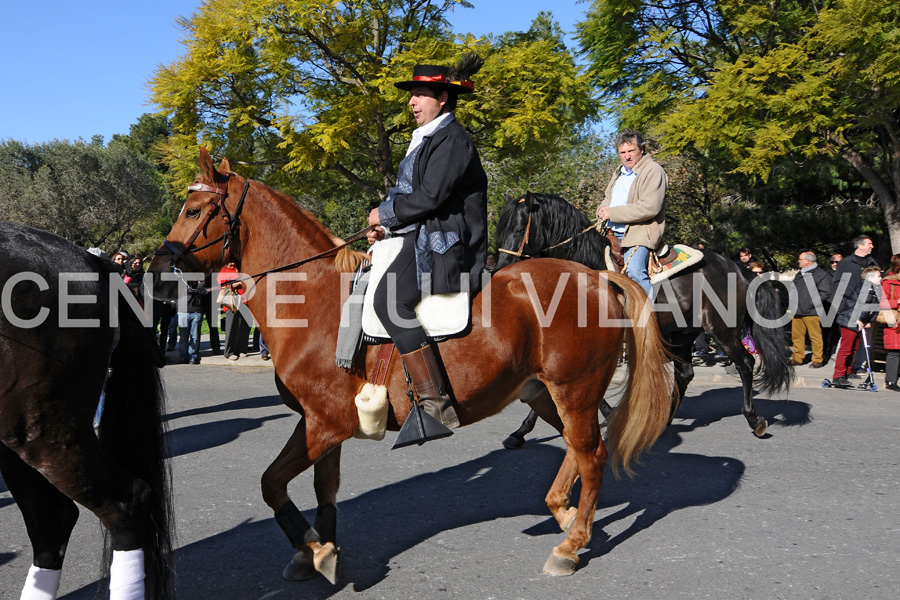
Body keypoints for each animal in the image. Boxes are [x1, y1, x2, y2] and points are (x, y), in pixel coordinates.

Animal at [146, 148, 668, 584]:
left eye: (193, 211)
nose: (155, 273)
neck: (312, 299)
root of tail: (595, 277)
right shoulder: (320, 424)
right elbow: (323, 487)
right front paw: (321, 547)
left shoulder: (323, 424)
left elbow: (272, 484)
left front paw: (316, 550)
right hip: (543, 394)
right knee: (577, 451)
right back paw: (564, 512)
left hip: (573, 391)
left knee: (592, 455)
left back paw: (570, 544)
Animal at [496, 192, 792, 440]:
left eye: (519, 228)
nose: (499, 270)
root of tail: (737, 267)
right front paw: (520, 432)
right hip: (683, 334)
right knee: (685, 374)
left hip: (722, 329)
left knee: (745, 364)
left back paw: (755, 420)